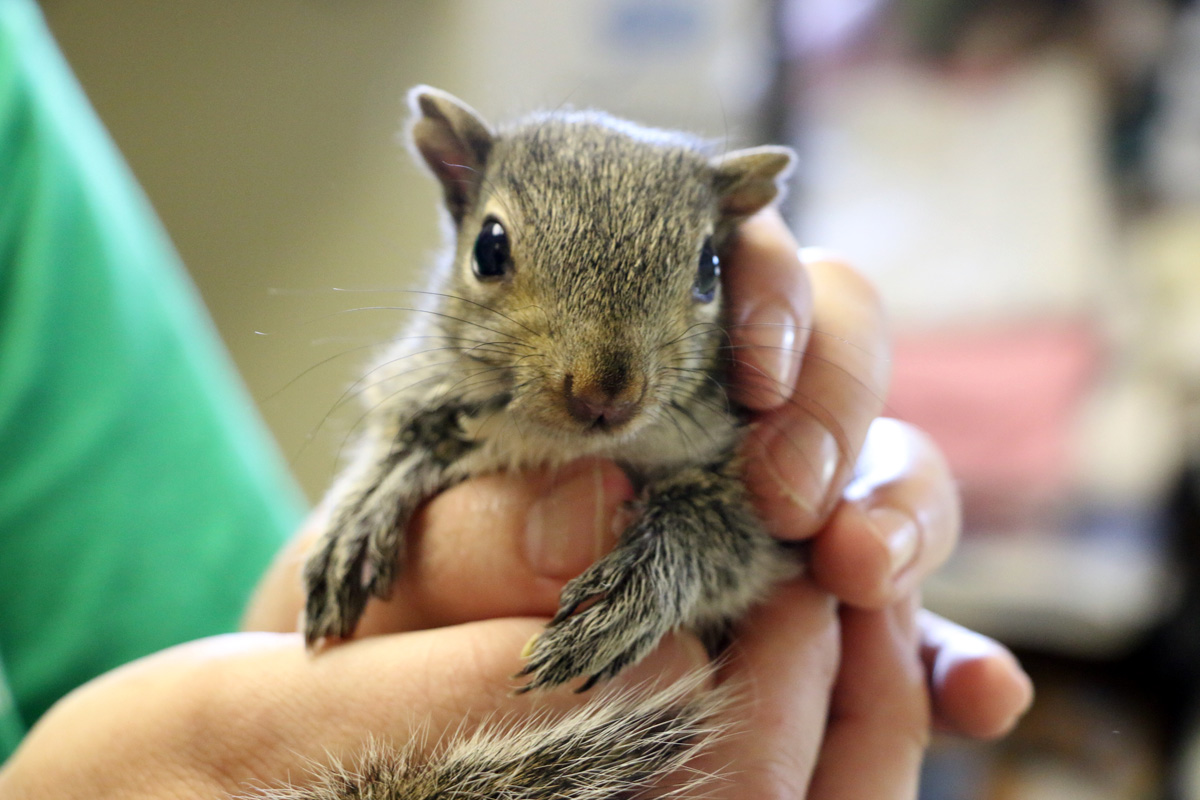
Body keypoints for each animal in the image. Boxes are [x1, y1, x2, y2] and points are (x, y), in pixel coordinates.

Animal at [283, 84, 796, 796]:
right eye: (488, 248)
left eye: (710, 268)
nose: (607, 393)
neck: (554, 441)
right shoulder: (419, 389)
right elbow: (405, 443)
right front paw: (361, 512)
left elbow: (729, 540)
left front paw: (636, 589)